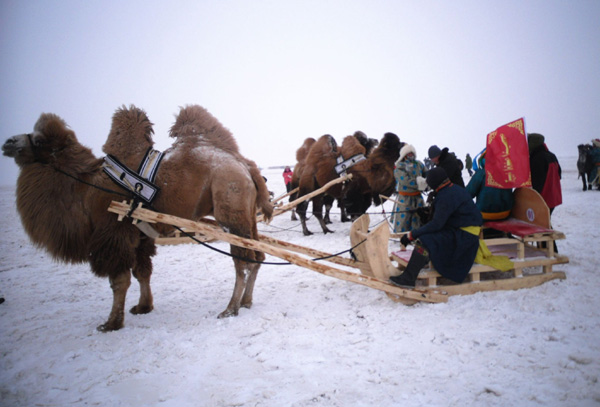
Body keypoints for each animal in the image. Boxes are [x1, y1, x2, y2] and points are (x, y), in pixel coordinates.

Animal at [1, 104, 274, 332]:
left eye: (38, 140)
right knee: (257, 255)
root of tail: (246, 167)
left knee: (242, 261)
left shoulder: (113, 231)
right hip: (247, 216)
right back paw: (246, 302)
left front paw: (111, 323)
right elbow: (142, 271)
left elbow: (119, 280)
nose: (8, 142)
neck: (86, 187)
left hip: (230, 209)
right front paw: (143, 307)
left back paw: (230, 308)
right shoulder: (140, 234)